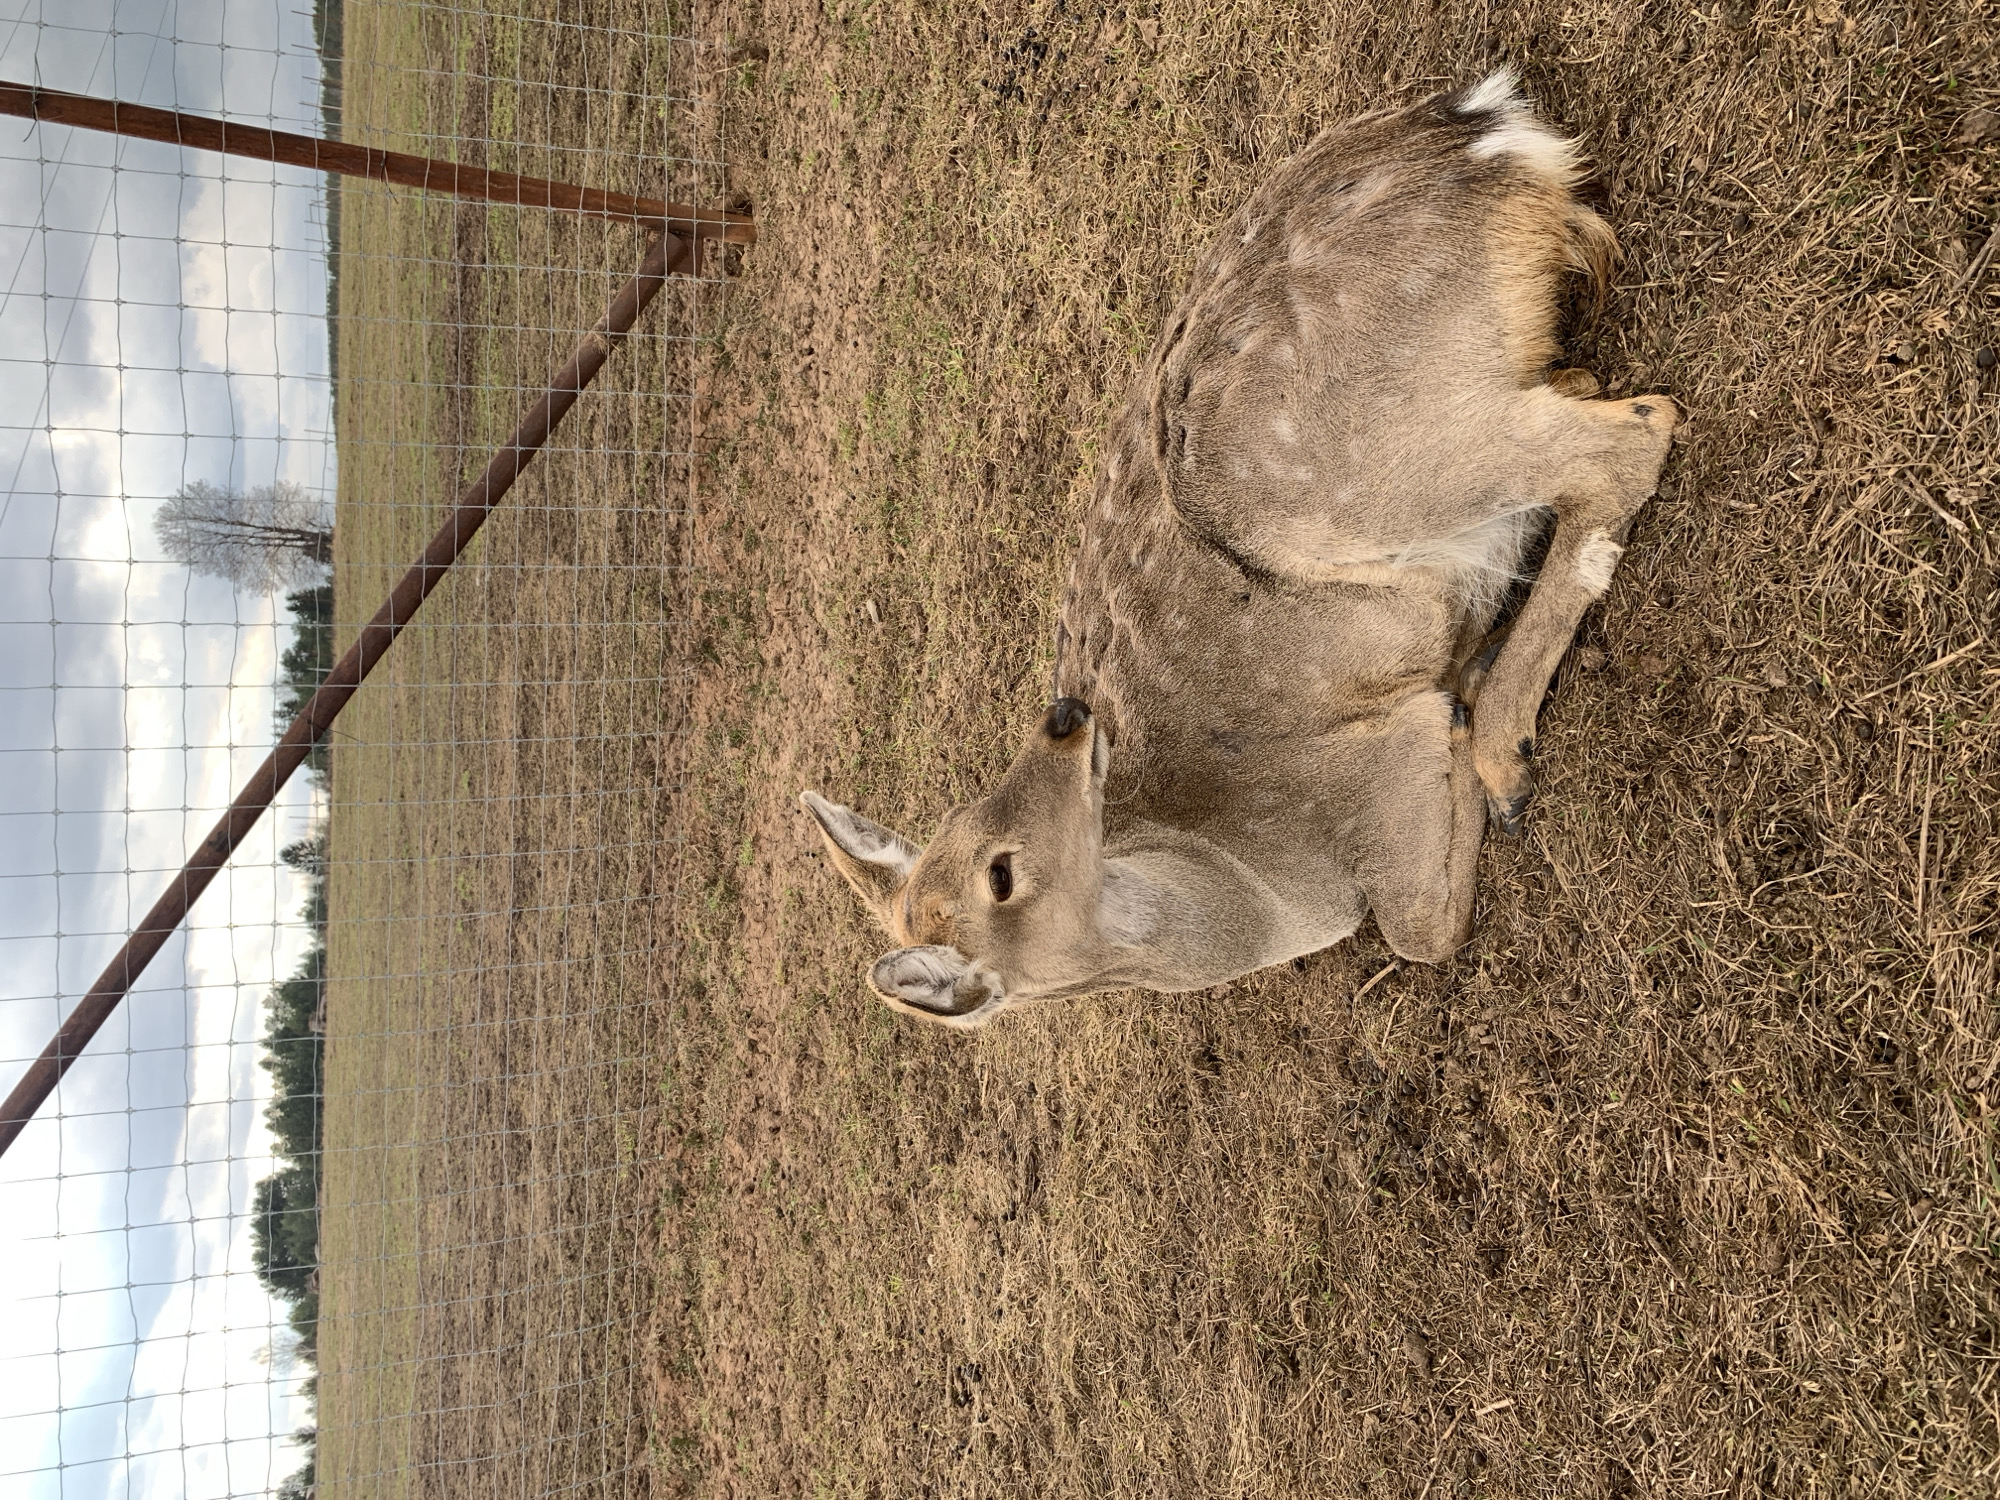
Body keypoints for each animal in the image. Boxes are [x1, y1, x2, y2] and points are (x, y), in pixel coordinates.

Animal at [802, 71, 1678, 1028]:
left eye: (998, 867)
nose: (1065, 717)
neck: (1264, 893)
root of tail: (1491, 133)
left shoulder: (1382, 769)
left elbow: (1422, 932)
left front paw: (1470, 704)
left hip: (1368, 466)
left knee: (1633, 435)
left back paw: (1504, 754)